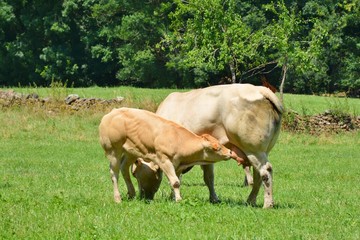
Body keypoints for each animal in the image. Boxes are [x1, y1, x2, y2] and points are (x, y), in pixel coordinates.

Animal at [100, 107, 243, 202]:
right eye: (217, 148)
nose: (230, 152)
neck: (178, 139)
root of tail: (112, 113)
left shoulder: (177, 165)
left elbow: (175, 180)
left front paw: (173, 197)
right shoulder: (164, 161)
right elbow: (175, 182)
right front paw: (178, 199)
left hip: (131, 152)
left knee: (124, 168)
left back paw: (131, 193)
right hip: (113, 151)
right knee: (114, 173)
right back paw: (117, 198)